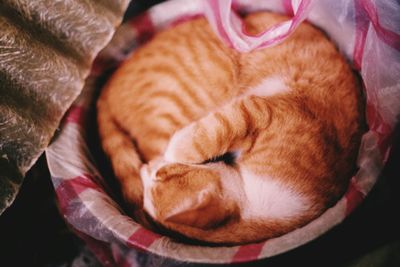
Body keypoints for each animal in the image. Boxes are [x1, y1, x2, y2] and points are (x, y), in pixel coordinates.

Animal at [97, 11, 366, 245]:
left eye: (166, 173)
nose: (146, 167)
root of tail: (105, 88)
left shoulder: (259, 111)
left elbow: (214, 131)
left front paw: (176, 148)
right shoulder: (260, 111)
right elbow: (217, 129)